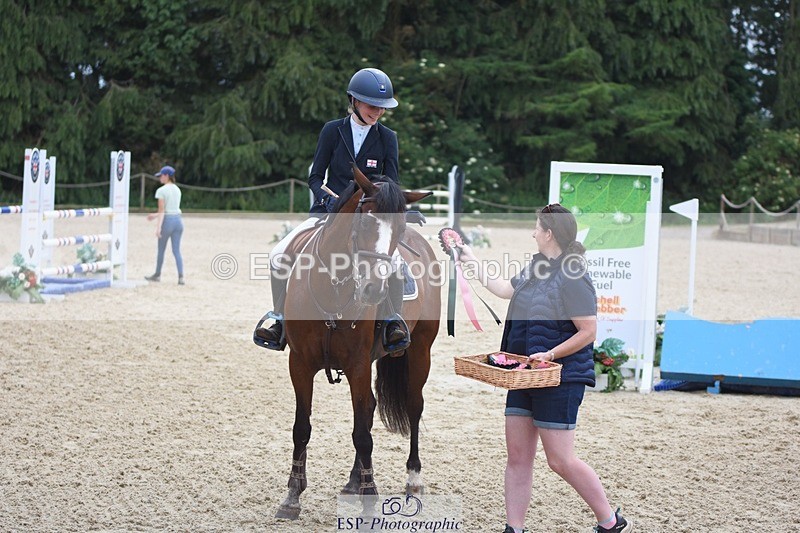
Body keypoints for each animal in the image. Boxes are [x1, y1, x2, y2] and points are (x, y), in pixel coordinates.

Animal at [274, 165, 442, 520]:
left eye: (400, 227)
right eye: (364, 222)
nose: (374, 290)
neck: (332, 288)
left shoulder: (358, 364)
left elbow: (362, 434)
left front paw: (370, 497)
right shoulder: (300, 364)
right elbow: (302, 428)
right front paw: (292, 496)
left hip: (420, 350)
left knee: (413, 406)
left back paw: (413, 479)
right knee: (369, 409)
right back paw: (354, 480)